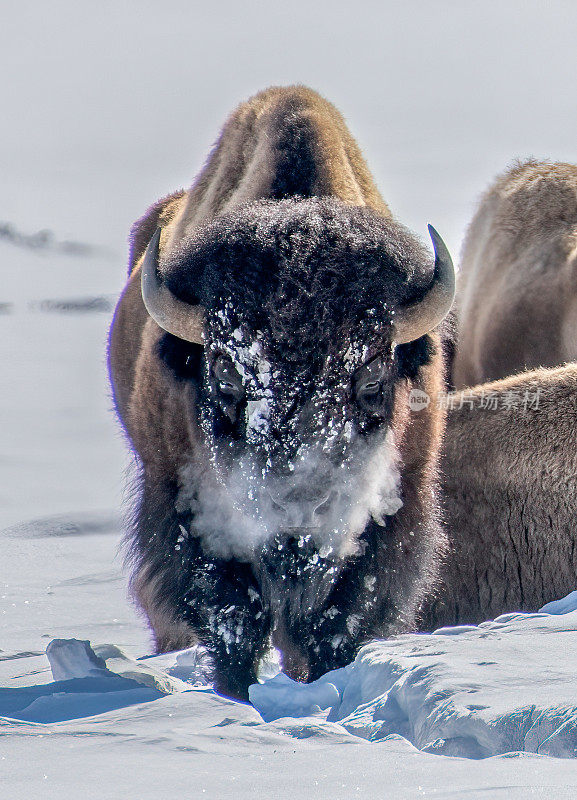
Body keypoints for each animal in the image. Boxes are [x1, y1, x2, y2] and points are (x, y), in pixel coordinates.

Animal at [109, 87, 454, 696]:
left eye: (371, 377)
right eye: (225, 374)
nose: (296, 521)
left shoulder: (396, 514)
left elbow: (339, 621)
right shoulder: (184, 510)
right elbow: (234, 618)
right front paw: (236, 695)